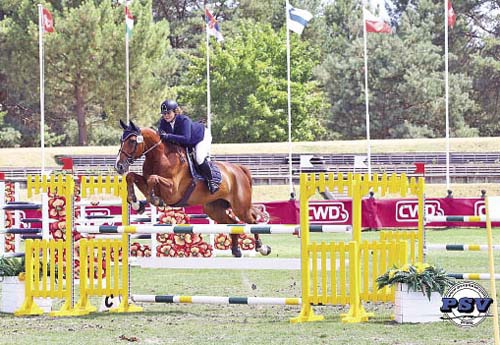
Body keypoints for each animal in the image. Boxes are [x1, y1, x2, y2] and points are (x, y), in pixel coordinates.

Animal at [114, 119, 272, 256]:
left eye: (132, 141)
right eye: (121, 140)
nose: (119, 166)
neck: (159, 156)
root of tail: (239, 169)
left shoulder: (173, 191)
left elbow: (153, 179)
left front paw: (154, 200)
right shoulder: (146, 182)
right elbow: (131, 176)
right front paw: (136, 203)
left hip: (240, 208)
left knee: (252, 221)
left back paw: (262, 247)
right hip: (214, 209)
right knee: (233, 223)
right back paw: (236, 250)